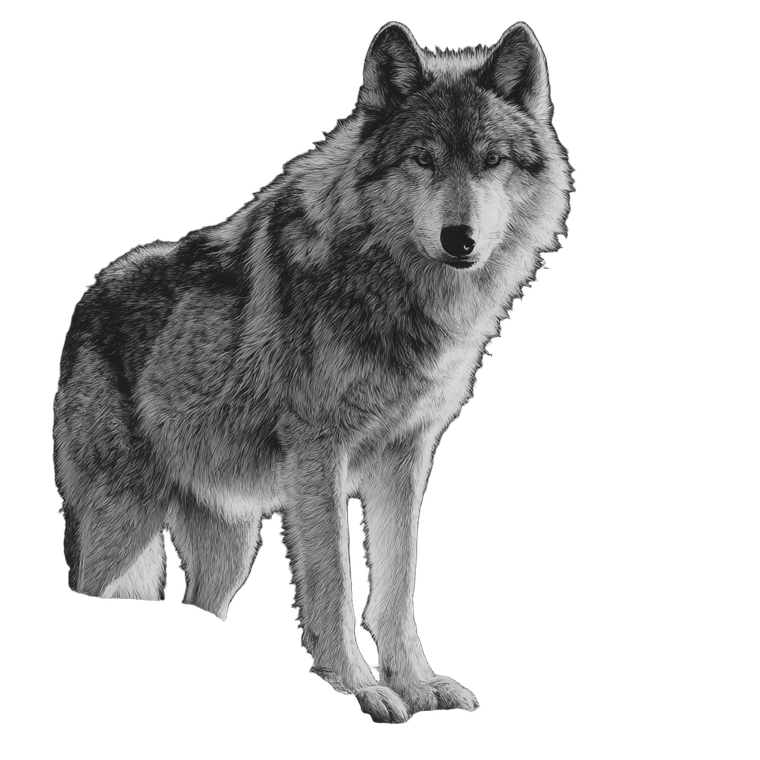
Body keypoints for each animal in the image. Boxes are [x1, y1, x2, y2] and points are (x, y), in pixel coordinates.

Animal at [53, 22, 571, 722]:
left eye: (491, 160)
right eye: (423, 159)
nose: (460, 239)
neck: (387, 283)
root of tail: (87, 300)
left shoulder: (405, 455)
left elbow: (397, 584)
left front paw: (417, 682)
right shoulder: (318, 453)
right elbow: (335, 583)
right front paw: (359, 687)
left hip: (230, 548)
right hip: (122, 527)